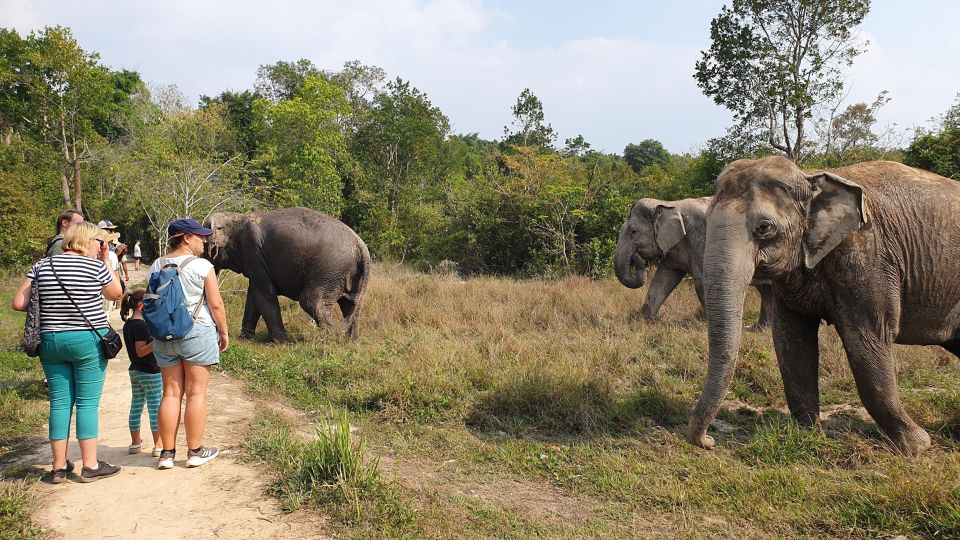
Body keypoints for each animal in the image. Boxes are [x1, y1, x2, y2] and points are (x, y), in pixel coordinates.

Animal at [206, 207, 372, 342]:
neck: (237, 217)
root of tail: (361, 247)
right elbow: (254, 293)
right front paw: (244, 339)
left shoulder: (253, 252)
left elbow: (265, 293)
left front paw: (282, 343)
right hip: (348, 275)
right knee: (351, 304)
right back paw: (350, 341)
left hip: (329, 270)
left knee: (311, 301)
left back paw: (332, 339)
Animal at [612, 196, 776, 326]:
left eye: (634, 232)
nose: (637, 258)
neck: (669, 204)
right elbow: (663, 280)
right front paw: (642, 321)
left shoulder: (702, 240)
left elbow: (702, 281)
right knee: (767, 290)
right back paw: (759, 329)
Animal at [688, 157, 960, 456]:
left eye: (764, 228)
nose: (709, 441)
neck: (810, 178)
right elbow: (792, 340)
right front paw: (809, 435)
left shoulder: (869, 258)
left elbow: (866, 339)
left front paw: (917, 446)